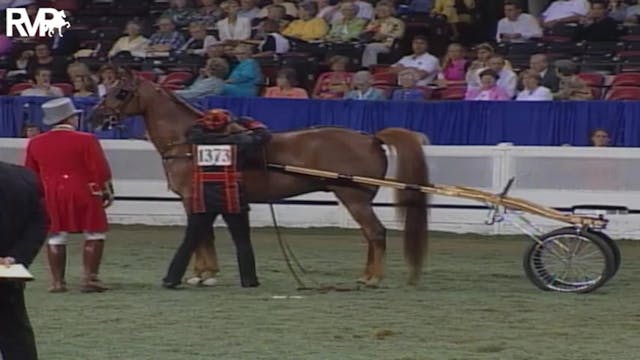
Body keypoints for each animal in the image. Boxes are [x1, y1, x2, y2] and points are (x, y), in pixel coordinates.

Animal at [87, 69, 430, 286]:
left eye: (121, 91)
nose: (95, 116)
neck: (191, 141)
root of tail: (370, 137)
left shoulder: (192, 199)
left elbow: (200, 237)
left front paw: (202, 274)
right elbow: (206, 237)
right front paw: (206, 273)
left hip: (354, 198)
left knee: (376, 233)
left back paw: (373, 278)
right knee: (370, 236)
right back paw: (366, 275)